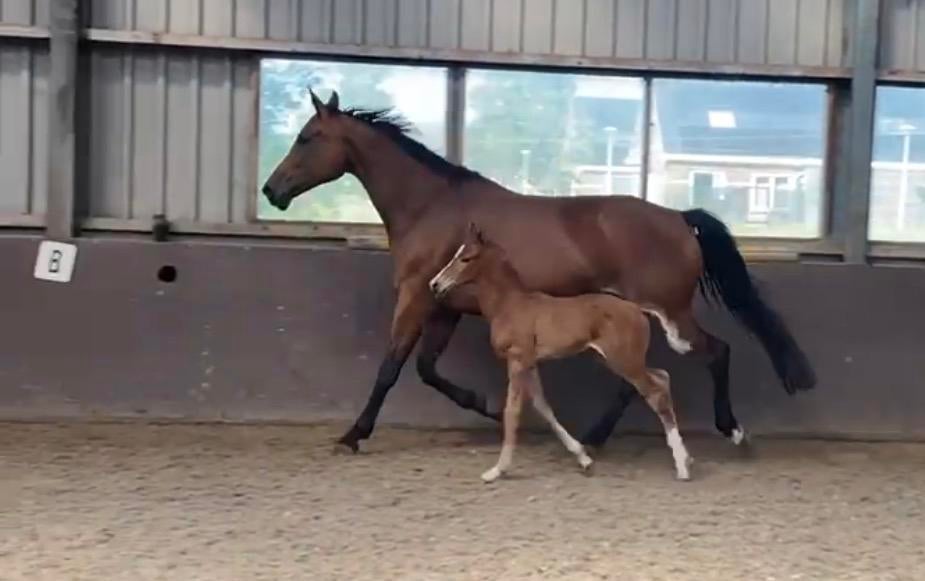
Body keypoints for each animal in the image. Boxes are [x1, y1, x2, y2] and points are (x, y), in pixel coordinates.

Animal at [261, 89, 816, 453]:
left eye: (308, 137)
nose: (272, 190)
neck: (431, 206)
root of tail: (680, 218)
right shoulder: (445, 306)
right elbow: (426, 369)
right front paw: (486, 405)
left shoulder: (416, 297)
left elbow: (391, 367)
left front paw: (353, 435)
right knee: (633, 380)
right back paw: (594, 437)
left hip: (672, 314)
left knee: (715, 353)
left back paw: (731, 429)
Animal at [430, 223, 694, 482]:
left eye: (466, 258)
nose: (435, 284)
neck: (509, 305)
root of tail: (638, 308)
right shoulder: (530, 363)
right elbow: (543, 407)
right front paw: (583, 458)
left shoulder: (516, 360)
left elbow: (512, 411)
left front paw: (497, 470)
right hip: (617, 359)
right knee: (662, 377)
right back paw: (686, 458)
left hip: (624, 361)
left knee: (655, 391)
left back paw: (682, 468)